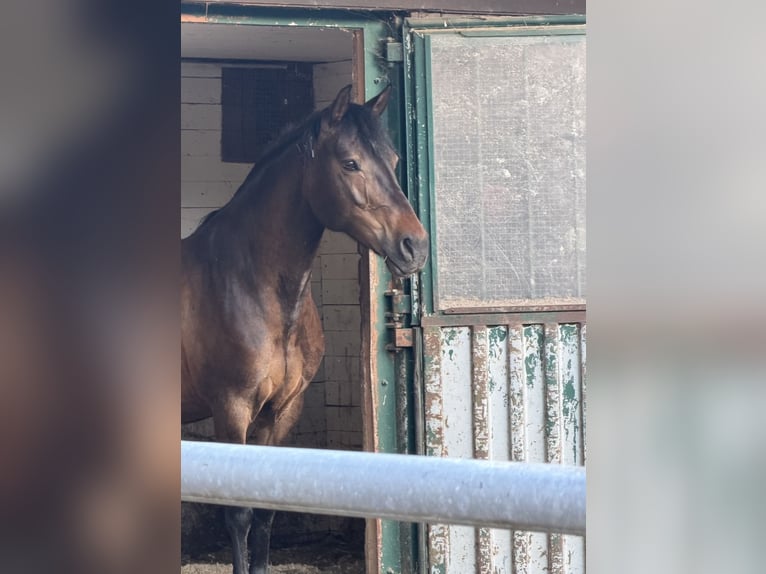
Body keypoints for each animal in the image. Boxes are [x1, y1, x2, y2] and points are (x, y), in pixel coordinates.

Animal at [181, 84, 429, 574]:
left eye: (393, 160)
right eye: (350, 162)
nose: (415, 246)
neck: (249, 282)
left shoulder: (282, 411)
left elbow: (265, 513)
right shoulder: (232, 408)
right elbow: (238, 515)